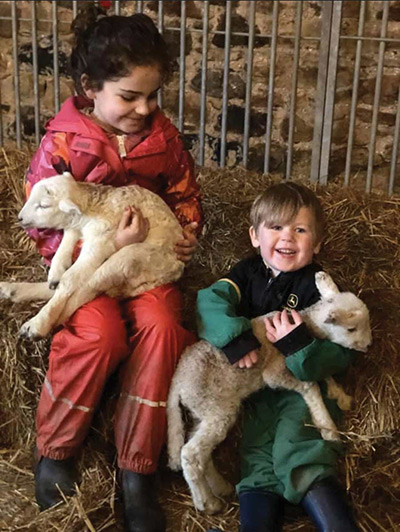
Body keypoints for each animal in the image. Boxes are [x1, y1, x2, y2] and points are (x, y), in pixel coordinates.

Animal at [0, 172, 184, 338]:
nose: (20, 218)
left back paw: (40, 323)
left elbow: (70, 279)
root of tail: (174, 270)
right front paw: (55, 271)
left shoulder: (100, 239)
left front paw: (40, 321)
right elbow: (65, 244)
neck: (90, 208)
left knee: (86, 286)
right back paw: (12, 290)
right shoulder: (75, 228)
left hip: (132, 257)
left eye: (44, 206)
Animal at [166, 272, 372, 512]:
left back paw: (220, 486)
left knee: (201, 451)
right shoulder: (274, 373)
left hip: (204, 410)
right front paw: (327, 427)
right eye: (351, 329)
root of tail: (177, 380)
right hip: (215, 407)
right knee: (190, 454)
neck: (306, 326)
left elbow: (320, 372)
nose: (368, 345)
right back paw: (207, 503)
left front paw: (340, 395)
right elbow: (310, 385)